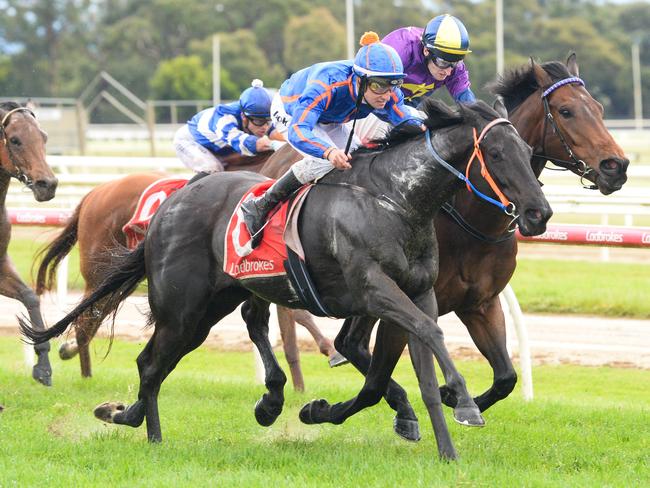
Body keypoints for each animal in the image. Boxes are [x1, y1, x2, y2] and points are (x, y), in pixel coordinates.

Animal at [36, 149, 342, 386]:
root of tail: (94, 193)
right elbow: (299, 314)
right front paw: (330, 352)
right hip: (101, 268)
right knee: (86, 317)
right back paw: (84, 371)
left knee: (95, 314)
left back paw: (73, 355)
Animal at [260, 54, 624, 420]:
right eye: (566, 111)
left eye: (599, 108)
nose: (617, 166)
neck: (471, 219)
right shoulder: (402, 296)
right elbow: (380, 370)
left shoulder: (480, 303)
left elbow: (506, 377)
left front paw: (455, 397)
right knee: (345, 342)